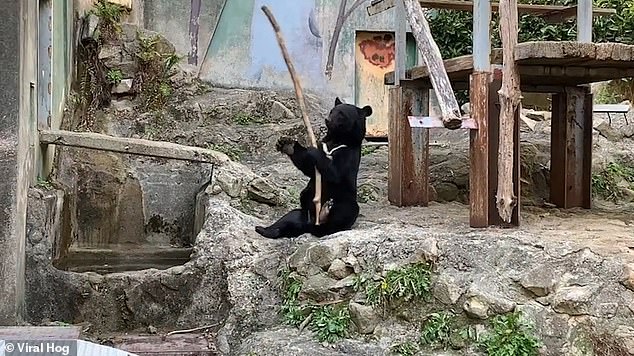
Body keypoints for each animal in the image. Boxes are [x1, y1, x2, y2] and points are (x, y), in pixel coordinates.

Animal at [253, 97, 370, 239]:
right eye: (332, 111)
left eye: (341, 114)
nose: (327, 120)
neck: (337, 139)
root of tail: (312, 224)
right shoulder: (324, 145)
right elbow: (308, 167)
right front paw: (287, 143)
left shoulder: (348, 153)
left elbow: (335, 173)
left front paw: (312, 150)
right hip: (305, 211)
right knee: (290, 217)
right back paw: (264, 229)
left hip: (344, 199)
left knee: (346, 211)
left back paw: (326, 213)